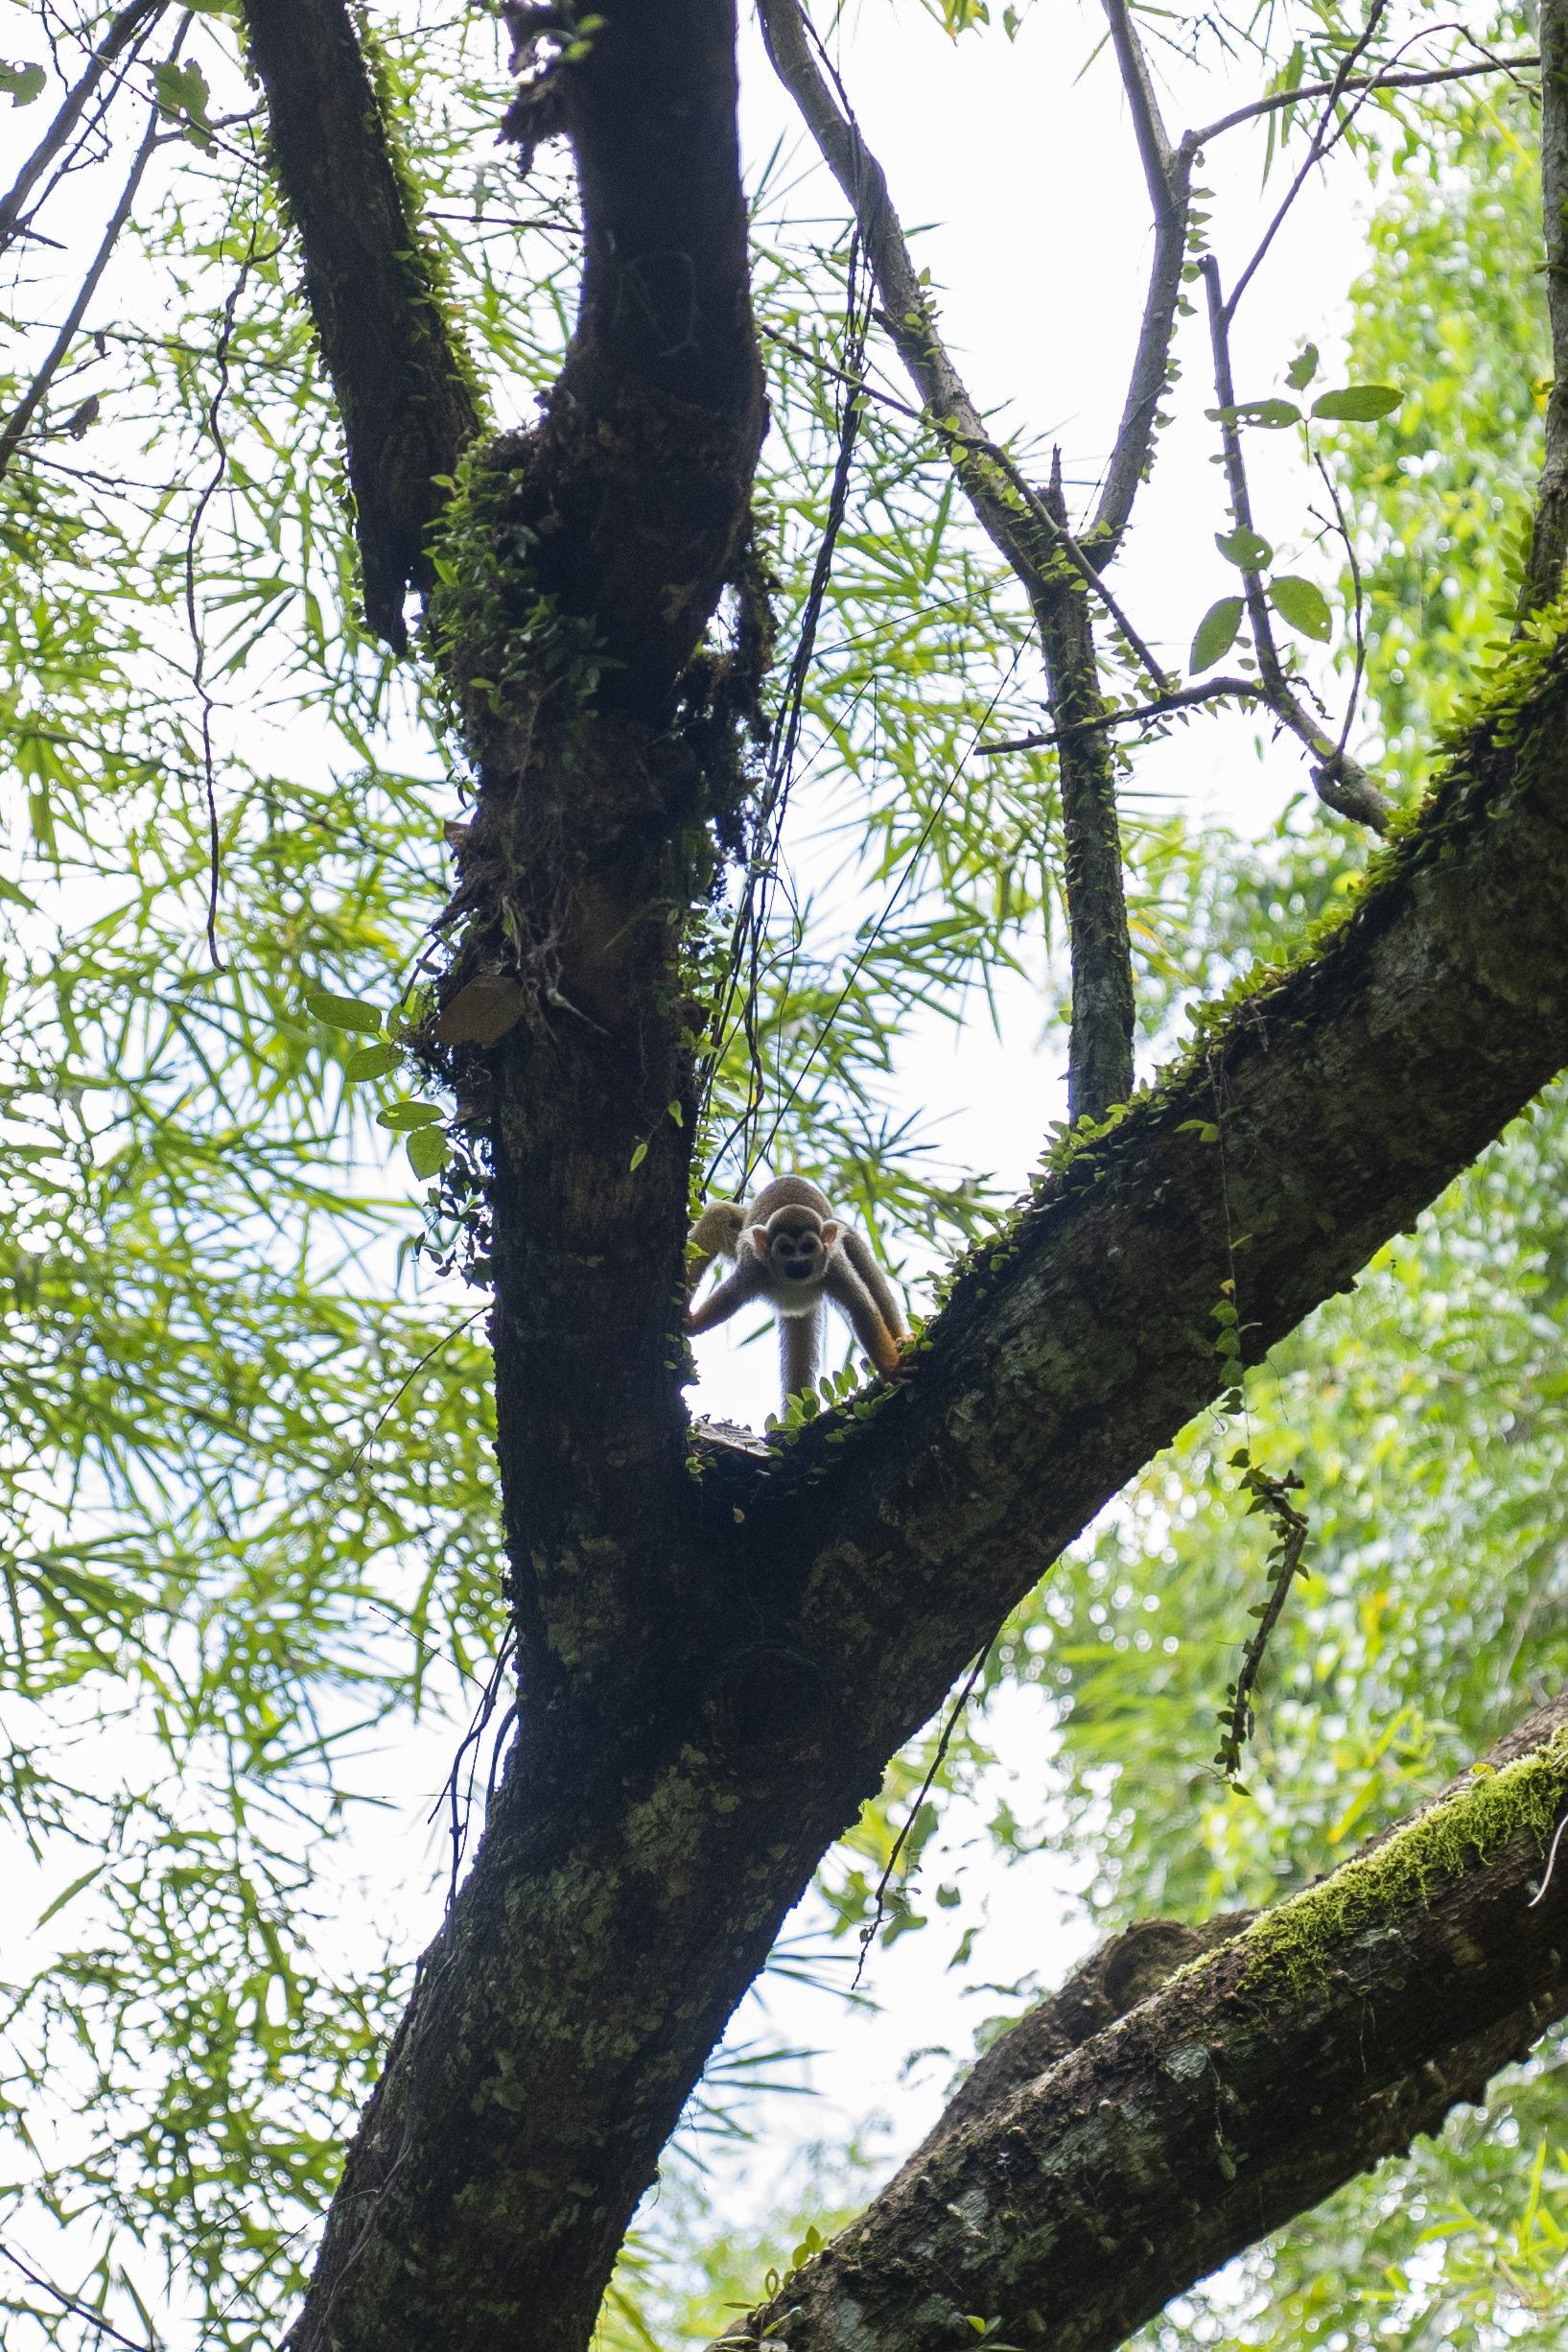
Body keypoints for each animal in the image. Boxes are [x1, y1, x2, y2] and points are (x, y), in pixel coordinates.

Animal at [684, 1175, 908, 1406]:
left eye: (808, 1247)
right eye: (786, 1250)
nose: (799, 1262)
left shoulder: (833, 1268)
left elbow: (861, 1307)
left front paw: (891, 1371)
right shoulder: (755, 1268)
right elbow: (731, 1297)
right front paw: (693, 1323)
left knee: (855, 1249)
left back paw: (901, 1338)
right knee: (720, 1213)